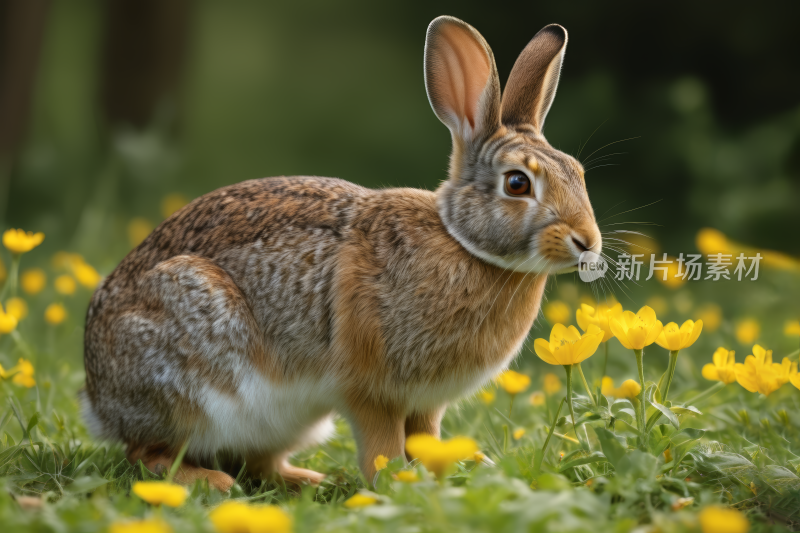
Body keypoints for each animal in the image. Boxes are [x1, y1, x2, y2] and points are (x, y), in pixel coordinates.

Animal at [83, 15, 600, 490]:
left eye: (577, 172)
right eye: (517, 183)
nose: (588, 242)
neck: (463, 243)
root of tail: (98, 398)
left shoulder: (426, 403)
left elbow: (427, 438)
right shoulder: (370, 390)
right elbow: (383, 447)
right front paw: (395, 485)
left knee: (258, 463)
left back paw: (309, 480)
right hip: (192, 373)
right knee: (148, 452)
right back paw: (212, 482)